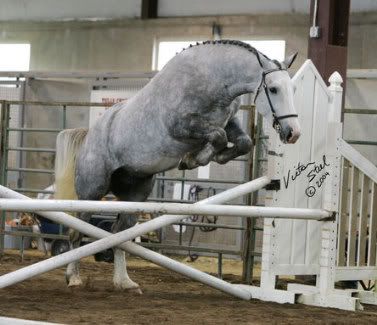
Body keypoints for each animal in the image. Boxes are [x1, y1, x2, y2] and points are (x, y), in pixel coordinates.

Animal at [53, 39, 300, 292]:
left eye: (292, 89)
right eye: (273, 89)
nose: (293, 133)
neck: (211, 82)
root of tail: (88, 136)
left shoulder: (229, 122)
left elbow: (243, 142)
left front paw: (208, 157)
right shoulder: (181, 125)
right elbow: (218, 136)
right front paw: (193, 159)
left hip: (135, 194)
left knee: (118, 233)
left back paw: (125, 282)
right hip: (92, 191)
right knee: (76, 231)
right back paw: (74, 277)